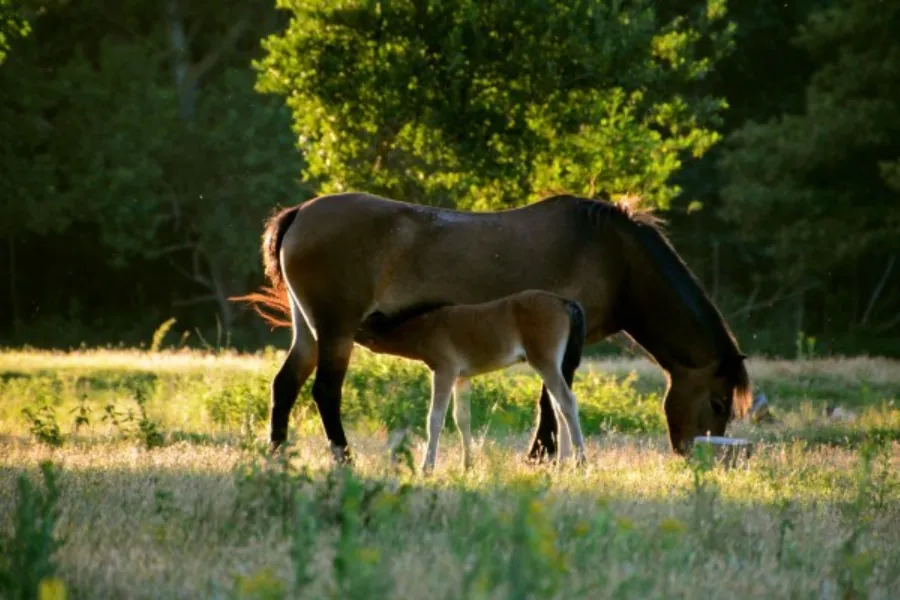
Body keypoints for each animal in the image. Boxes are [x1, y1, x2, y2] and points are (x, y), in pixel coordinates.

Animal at [354, 290, 592, 474]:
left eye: (361, 326)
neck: (428, 326)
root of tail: (563, 301)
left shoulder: (445, 370)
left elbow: (435, 418)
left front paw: (427, 468)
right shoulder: (462, 377)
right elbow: (462, 419)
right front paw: (467, 466)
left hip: (544, 361)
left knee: (567, 402)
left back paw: (580, 463)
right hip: (550, 364)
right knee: (559, 407)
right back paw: (563, 462)